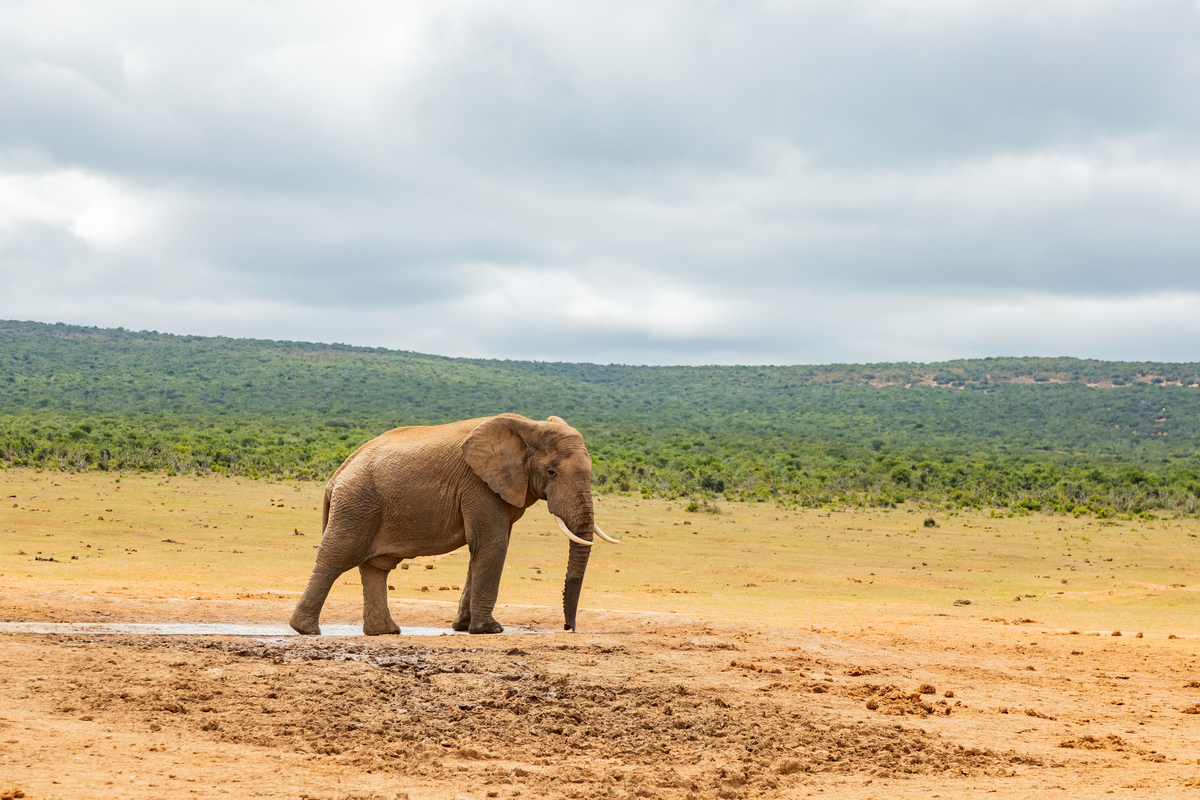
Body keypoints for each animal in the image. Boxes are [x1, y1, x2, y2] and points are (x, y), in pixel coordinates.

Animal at [289, 414, 617, 635]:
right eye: (551, 473)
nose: (568, 627)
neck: (528, 426)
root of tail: (335, 476)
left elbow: (481, 549)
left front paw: (463, 626)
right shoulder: (479, 485)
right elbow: (492, 544)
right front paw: (489, 629)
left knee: (376, 567)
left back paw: (386, 631)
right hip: (357, 504)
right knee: (336, 557)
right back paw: (305, 630)